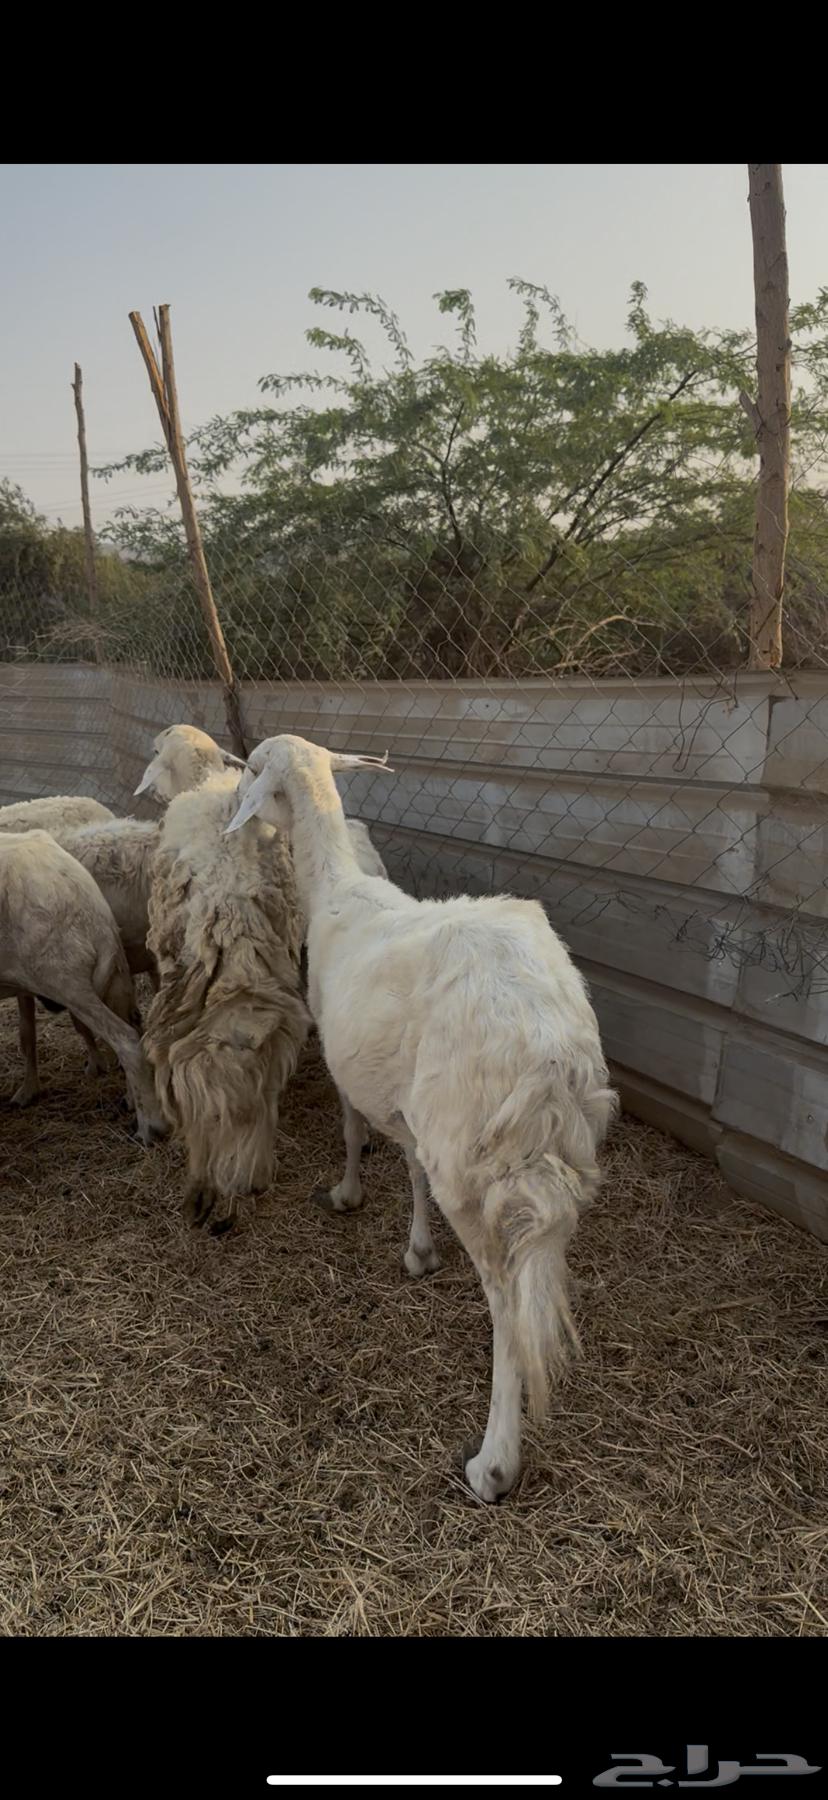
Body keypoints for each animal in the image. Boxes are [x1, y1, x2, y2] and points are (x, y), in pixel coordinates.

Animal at [0, 830, 166, 1144]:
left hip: (64, 979)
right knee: (134, 1028)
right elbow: (27, 1035)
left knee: (126, 1039)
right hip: (110, 975)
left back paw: (150, 1126)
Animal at [226, 734, 617, 1503]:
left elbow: (353, 1131)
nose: (236, 800)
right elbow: (406, 1164)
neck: (336, 891)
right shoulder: (405, 1100)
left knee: (505, 1302)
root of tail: (547, 1048)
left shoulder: (341, 1056)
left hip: (469, 1159)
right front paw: (417, 1249)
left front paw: (347, 1194)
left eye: (254, 771)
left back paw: (494, 1463)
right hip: (557, 1160)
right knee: (537, 1284)